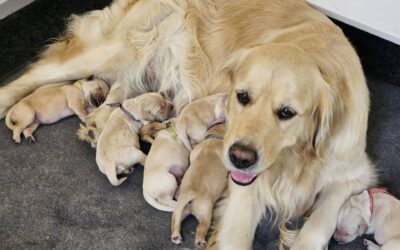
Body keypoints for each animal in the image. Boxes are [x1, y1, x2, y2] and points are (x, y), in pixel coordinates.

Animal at [0, 0, 376, 250]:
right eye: (241, 96)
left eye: (286, 113)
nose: (239, 158)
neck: (295, 160)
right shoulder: (244, 191)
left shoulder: (350, 171)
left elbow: (320, 224)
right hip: (110, 49)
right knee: (32, 76)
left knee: (118, 90)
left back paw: (96, 126)